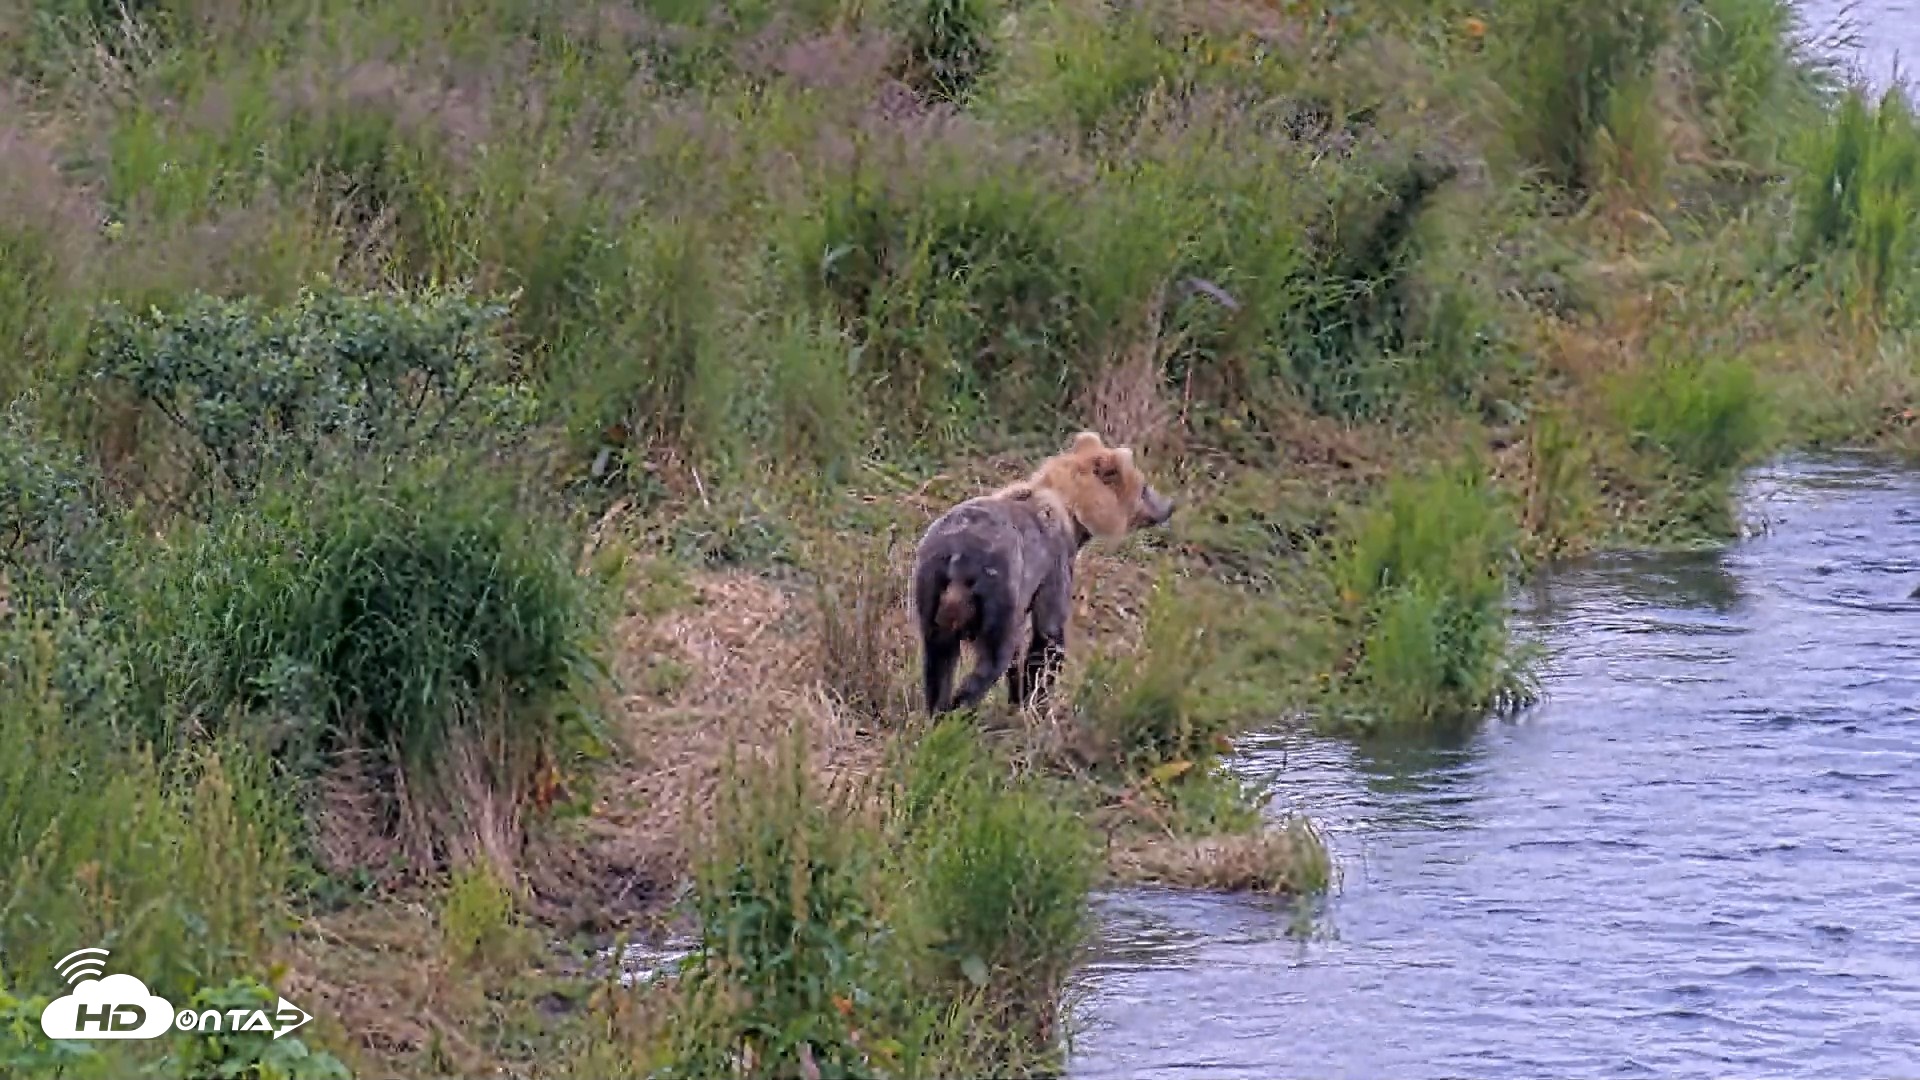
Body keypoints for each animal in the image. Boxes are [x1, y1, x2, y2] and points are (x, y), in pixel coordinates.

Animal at [911, 430, 1177, 717]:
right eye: (1144, 486)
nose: (1170, 505)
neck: (1073, 509)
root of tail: (958, 558)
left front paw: (1018, 693)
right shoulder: (1053, 561)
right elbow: (1048, 635)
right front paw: (1035, 698)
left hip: (930, 586)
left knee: (937, 662)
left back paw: (937, 711)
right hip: (997, 585)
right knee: (991, 659)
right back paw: (957, 712)